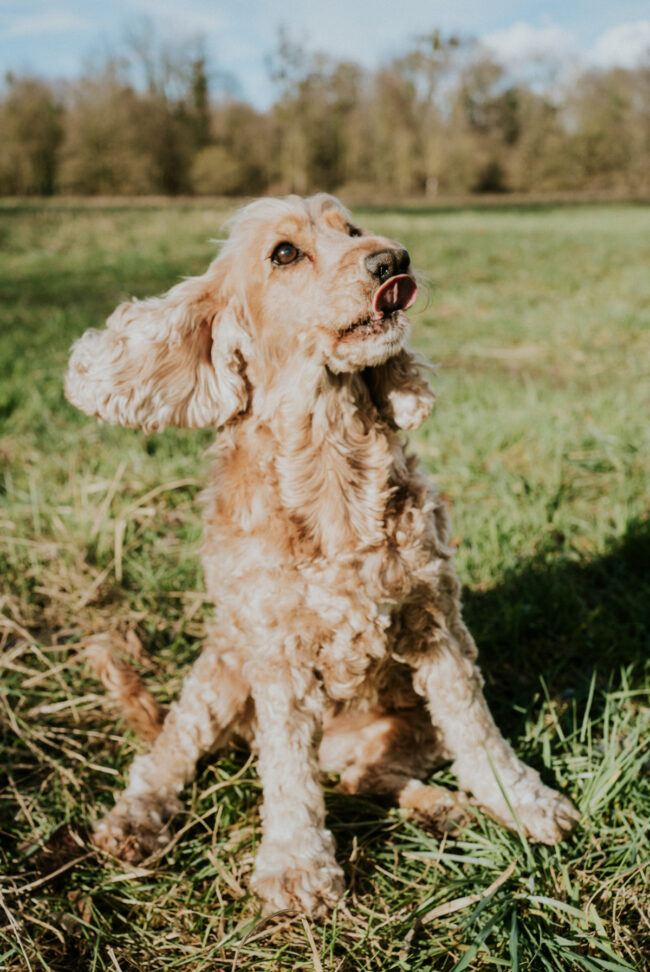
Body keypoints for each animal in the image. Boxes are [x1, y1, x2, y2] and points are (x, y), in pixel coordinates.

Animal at [63, 194, 576, 916]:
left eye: (352, 229)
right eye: (285, 253)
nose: (394, 259)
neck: (332, 452)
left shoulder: (438, 626)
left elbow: (478, 731)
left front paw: (525, 803)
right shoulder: (278, 653)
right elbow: (287, 769)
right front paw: (296, 866)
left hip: (406, 725)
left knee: (361, 776)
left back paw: (442, 807)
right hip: (223, 671)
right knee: (171, 750)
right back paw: (134, 819)